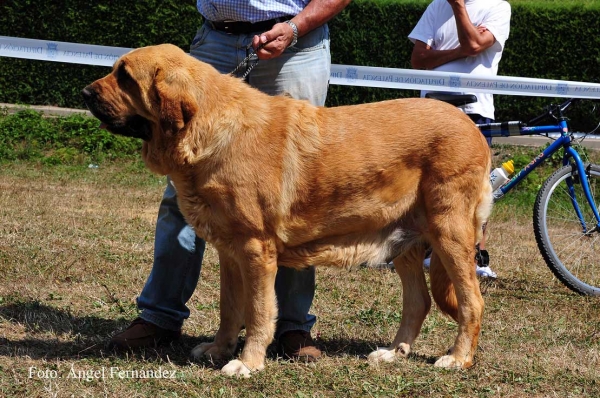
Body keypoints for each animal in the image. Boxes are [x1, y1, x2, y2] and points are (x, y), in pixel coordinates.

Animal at [83, 44, 492, 380]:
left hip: (449, 232)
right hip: (403, 241)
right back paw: (393, 353)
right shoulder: (229, 252)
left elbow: (258, 311)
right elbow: (229, 308)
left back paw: (458, 358)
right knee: (418, 302)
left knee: (471, 300)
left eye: (124, 76)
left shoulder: (255, 250)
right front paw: (218, 349)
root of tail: (472, 126)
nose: (84, 93)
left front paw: (247, 363)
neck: (210, 130)